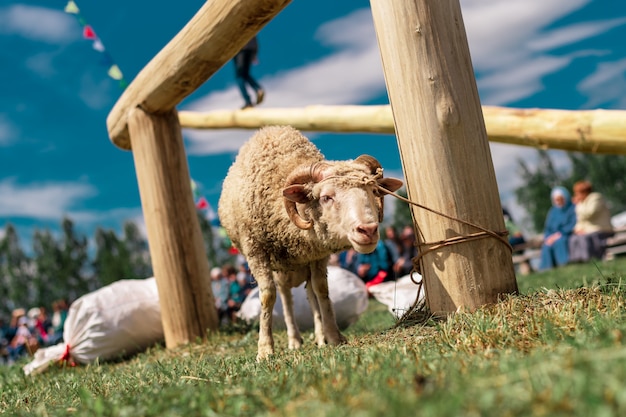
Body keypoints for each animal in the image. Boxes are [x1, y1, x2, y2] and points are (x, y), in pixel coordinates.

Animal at [217, 122, 402, 358]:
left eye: (374, 191)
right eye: (326, 197)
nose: (368, 230)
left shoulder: (318, 254)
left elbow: (322, 290)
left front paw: (333, 336)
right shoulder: (255, 250)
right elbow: (267, 296)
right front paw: (265, 349)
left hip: (305, 262)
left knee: (311, 292)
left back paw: (320, 336)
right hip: (281, 268)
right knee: (286, 297)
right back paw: (294, 339)